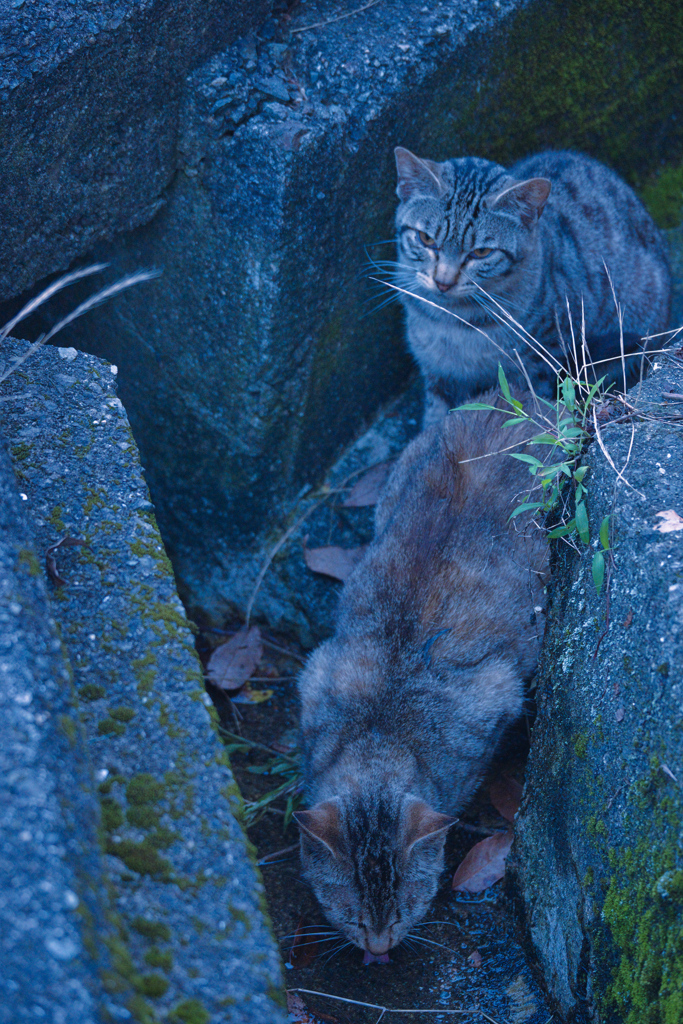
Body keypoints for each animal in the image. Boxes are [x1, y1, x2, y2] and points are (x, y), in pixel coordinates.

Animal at [294, 391, 548, 958]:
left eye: (406, 908)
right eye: (349, 913)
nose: (379, 949)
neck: (380, 731)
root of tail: (513, 396)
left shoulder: (496, 695)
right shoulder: (316, 673)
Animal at [393, 147, 671, 423]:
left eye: (481, 252)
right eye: (426, 238)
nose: (443, 282)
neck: (453, 320)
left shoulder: (542, 361)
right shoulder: (438, 373)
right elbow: (437, 416)